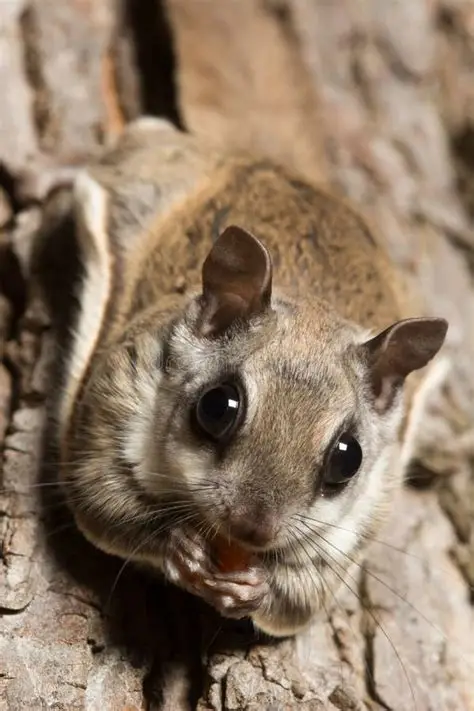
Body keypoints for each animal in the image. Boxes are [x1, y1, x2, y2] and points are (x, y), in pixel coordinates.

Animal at [45, 116, 448, 638]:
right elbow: (103, 502)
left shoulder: (365, 510)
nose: (253, 528)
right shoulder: (116, 399)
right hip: (152, 168)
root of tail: (283, 169)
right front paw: (177, 545)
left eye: (349, 458)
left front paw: (256, 587)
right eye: (217, 407)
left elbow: (300, 599)